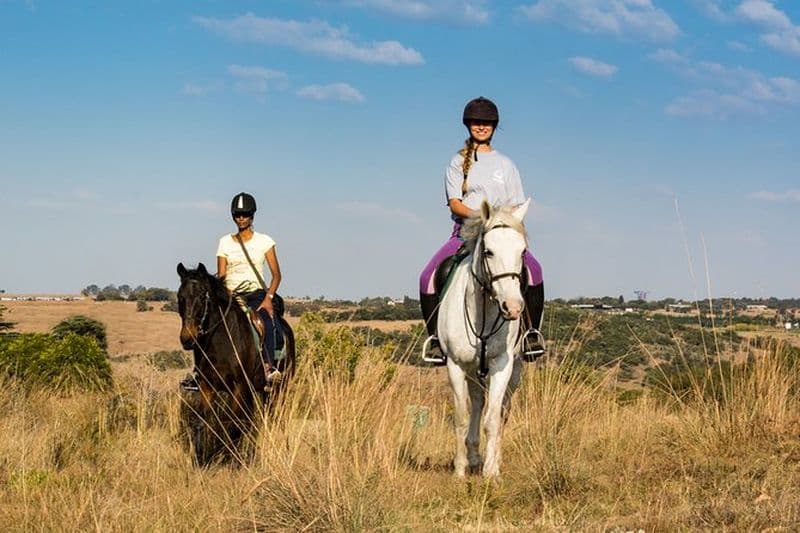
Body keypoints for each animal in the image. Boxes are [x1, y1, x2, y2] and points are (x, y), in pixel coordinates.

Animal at [176, 262, 295, 460]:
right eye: (180, 297)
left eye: (201, 297)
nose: (187, 338)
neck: (220, 341)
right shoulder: (207, 385)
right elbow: (203, 421)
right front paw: (202, 459)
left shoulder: (238, 387)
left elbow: (232, 425)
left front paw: (230, 458)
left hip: (279, 387)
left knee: (274, 416)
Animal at [437, 199, 530, 478]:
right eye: (489, 251)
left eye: (522, 252)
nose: (513, 308)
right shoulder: (456, 365)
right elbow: (461, 416)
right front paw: (459, 469)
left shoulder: (502, 364)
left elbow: (493, 419)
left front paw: (491, 472)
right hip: (472, 370)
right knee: (477, 402)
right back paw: (473, 456)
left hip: (515, 370)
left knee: (502, 411)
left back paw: (491, 459)